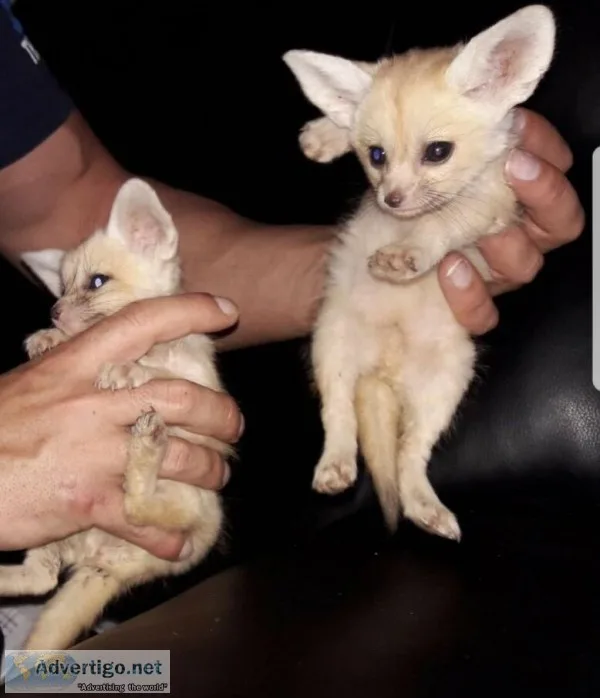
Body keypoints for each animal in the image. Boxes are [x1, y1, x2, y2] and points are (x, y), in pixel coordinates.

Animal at [0, 178, 232, 650]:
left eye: (96, 282)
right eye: (61, 289)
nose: (52, 312)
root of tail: (106, 564)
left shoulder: (199, 380)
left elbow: (160, 370)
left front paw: (127, 368)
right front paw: (48, 339)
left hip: (192, 507)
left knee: (135, 508)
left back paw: (147, 449)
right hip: (52, 529)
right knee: (40, 578)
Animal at [282, 5, 556, 540]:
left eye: (437, 153)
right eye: (376, 156)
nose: (390, 200)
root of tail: (385, 371)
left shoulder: (493, 198)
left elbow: (442, 223)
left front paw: (408, 252)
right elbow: (349, 119)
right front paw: (327, 131)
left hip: (447, 381)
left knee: (410, 455)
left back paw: (425, 506)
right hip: (331, 346)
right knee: (340, 416)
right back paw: (335, 465)